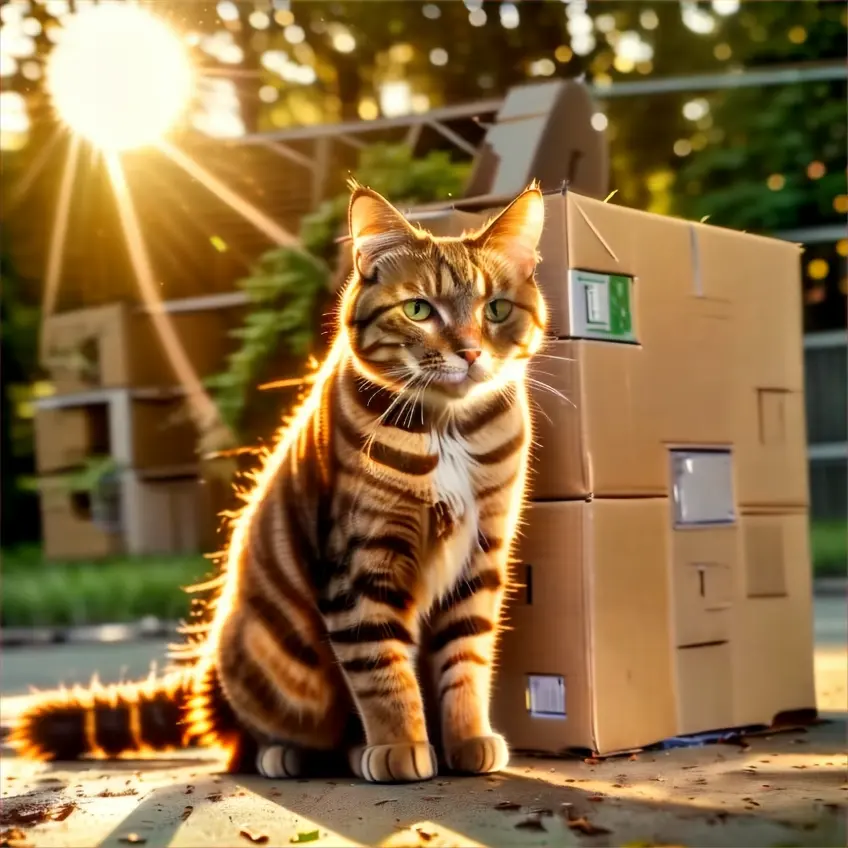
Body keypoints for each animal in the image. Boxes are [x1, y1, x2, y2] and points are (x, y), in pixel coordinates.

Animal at [11, 182, 548, 784]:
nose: (471, 351)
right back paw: (290, 753)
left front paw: (466, 738)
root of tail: (207, 675)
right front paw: (401, 744)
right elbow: (382, 668)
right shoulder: (361, 560)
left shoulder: (480, 555)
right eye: (418, 310)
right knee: (242, 740)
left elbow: (465, 660)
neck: (447, 430)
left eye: (496, 309)